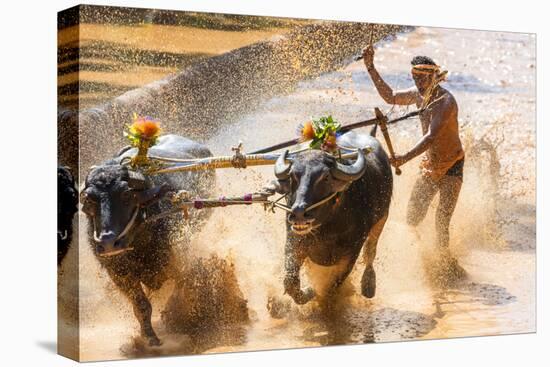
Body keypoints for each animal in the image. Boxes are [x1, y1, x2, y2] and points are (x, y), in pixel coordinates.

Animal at [82, 134, 216, 344]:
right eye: (89, 199)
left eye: (127, 194)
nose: (108, 243)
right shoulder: (119, 274)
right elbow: (142, 305)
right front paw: (150, 337)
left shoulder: (178, 259)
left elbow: (180, 290)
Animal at [268, 132, 392, 304]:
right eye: (293, 176)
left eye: (325, 177)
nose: (299, 212)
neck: (328, 226)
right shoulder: (294, 243)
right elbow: (290, 281)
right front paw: (309, 291)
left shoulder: (350, 253)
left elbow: (332, 285)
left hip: (382, 218)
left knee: (370, 251)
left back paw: (368, 284)